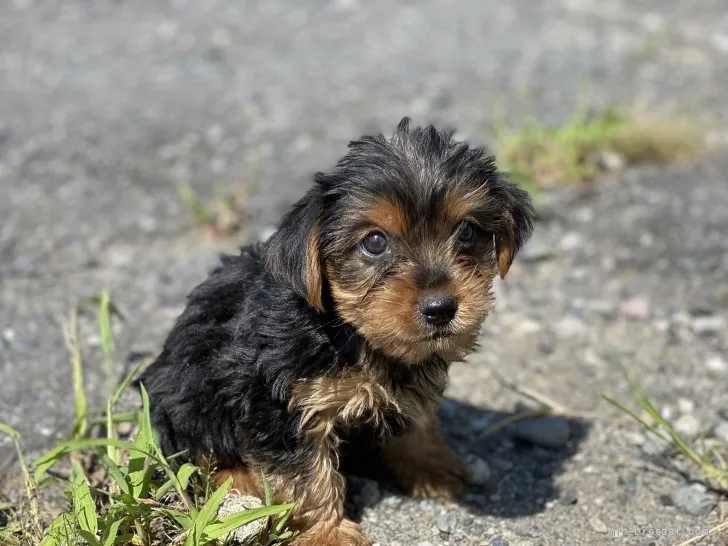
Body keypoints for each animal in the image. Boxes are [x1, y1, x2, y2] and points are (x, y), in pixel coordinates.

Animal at [138, 119, 536, 544]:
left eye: (466, 231)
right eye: (374, 242)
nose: (440, 308)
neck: (349, 332)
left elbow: (419, 422)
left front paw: (433, 467)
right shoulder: (281, 405)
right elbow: (305, 475)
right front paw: (327, 532)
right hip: (185, 396)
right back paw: (240, 485)